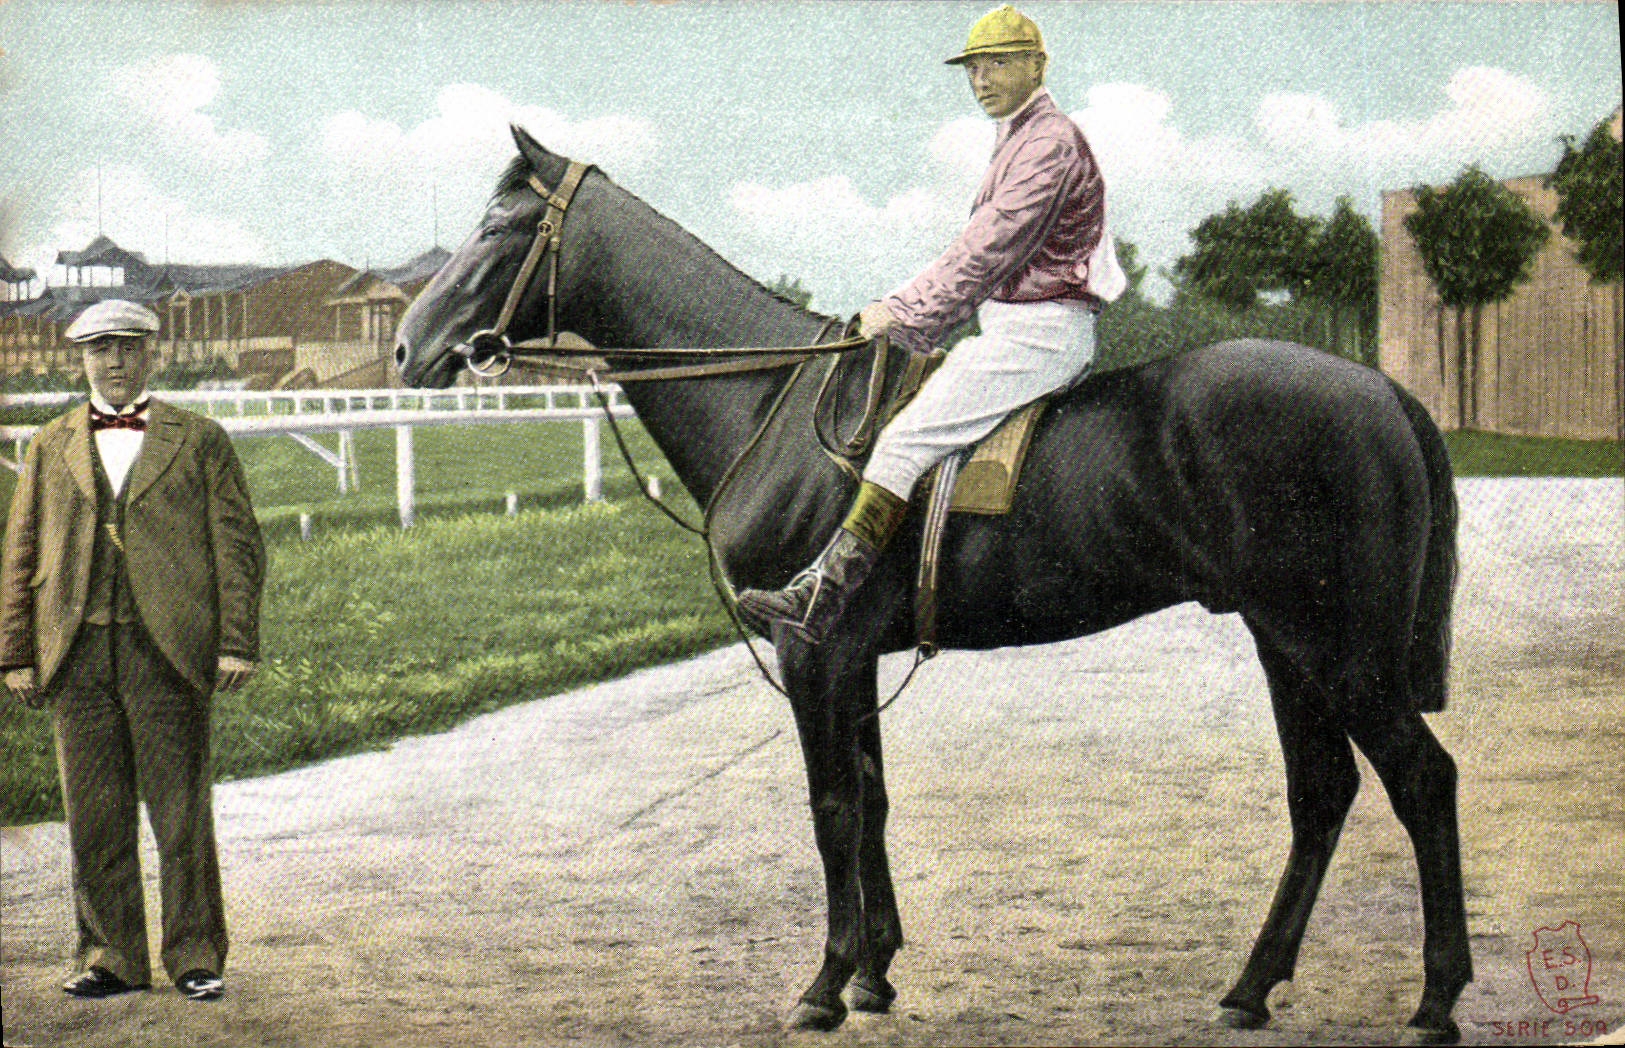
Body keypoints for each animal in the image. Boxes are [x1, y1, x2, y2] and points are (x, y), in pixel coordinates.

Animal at [395, 125, 1471, 1045]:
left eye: (499, 227)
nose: (407, 349)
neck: (770, 399)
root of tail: (1381, 391)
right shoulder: (852, 657)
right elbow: (871, 798)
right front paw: (874, 971)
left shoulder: (811, 652)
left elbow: (831, 803)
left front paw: (824, 984)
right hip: (1284, 642)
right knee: (1321, 792)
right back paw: (1249, 988)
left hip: (1335, 649)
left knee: (1420, 779)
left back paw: (1433, 998)